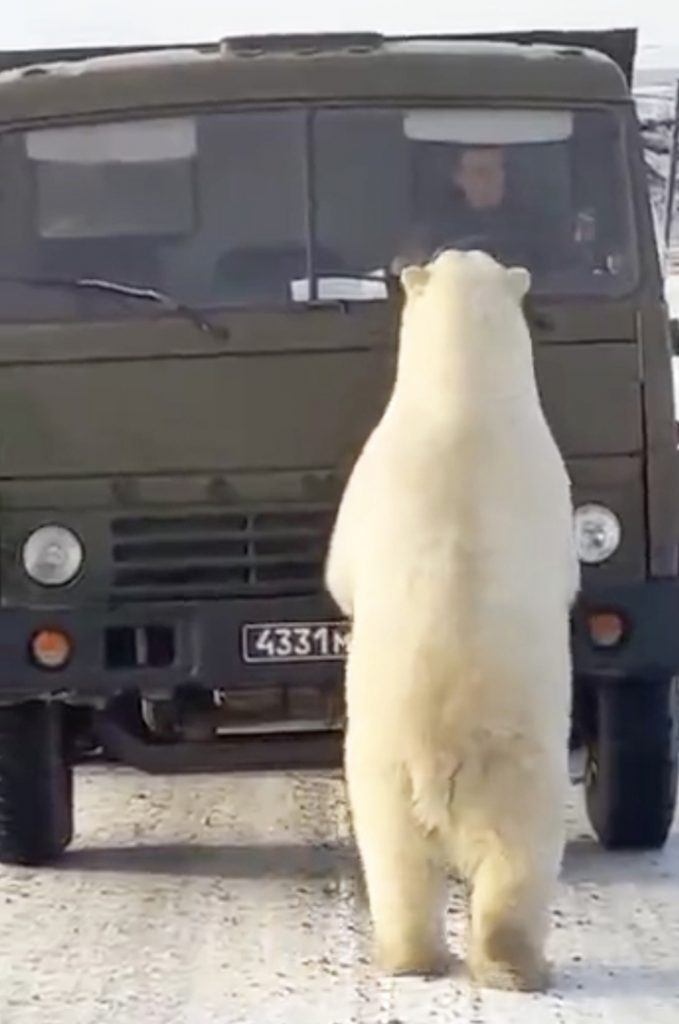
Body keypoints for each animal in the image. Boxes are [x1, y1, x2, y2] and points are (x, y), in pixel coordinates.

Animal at [325, 248, 579, 991]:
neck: (462, 399)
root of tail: (444, 755)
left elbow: (340, 569)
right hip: (439, 777)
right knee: (454, 867)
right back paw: (474, 963)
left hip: (412, 772)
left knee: (424, 868)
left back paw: (461, 962)